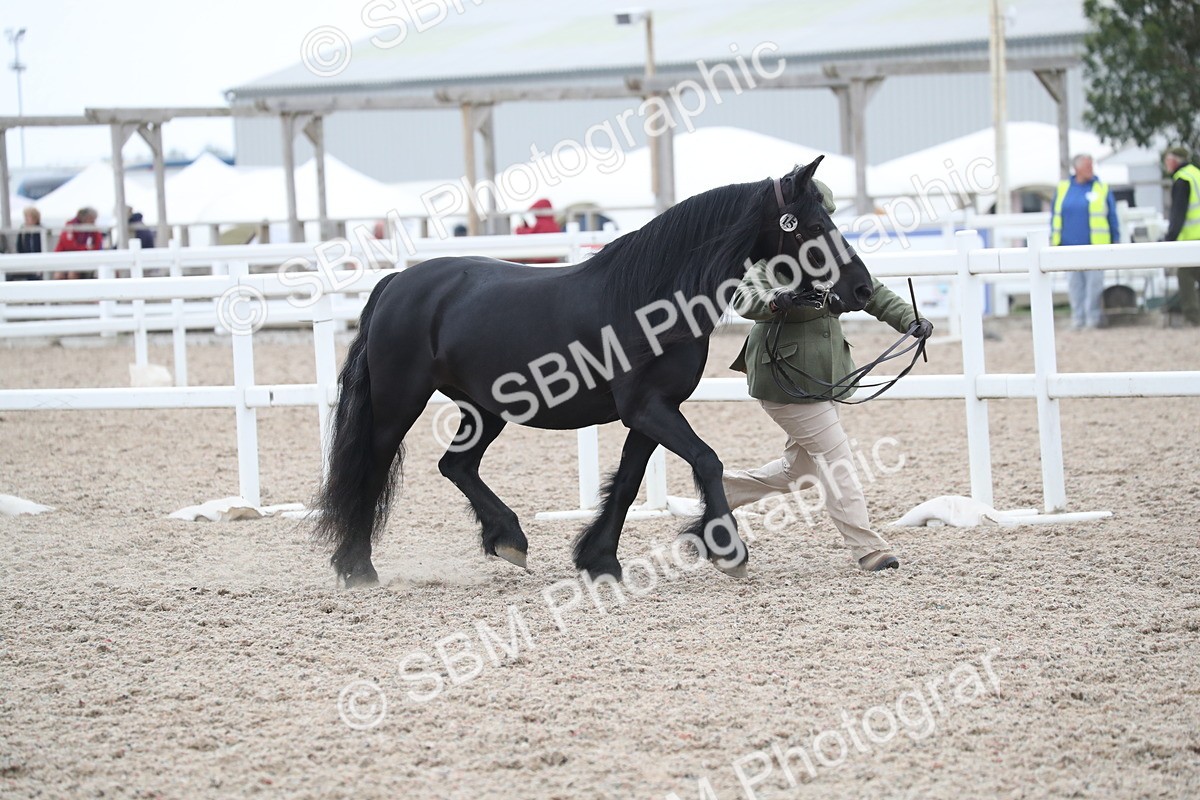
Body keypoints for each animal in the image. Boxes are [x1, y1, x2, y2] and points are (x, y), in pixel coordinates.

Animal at [315, 157, 874, 588]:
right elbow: (708, 461)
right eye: (816, 226)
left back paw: (509, 539)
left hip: (485, 409)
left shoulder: (652, 412)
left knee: (457, 466)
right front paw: (726, 549)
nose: (863, 289)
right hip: (398, 404)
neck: (650, 301)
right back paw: (358, 567)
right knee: (372, 469)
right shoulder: (648, 409)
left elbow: (627, 483)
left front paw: (600, 559)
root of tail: (397, 281)